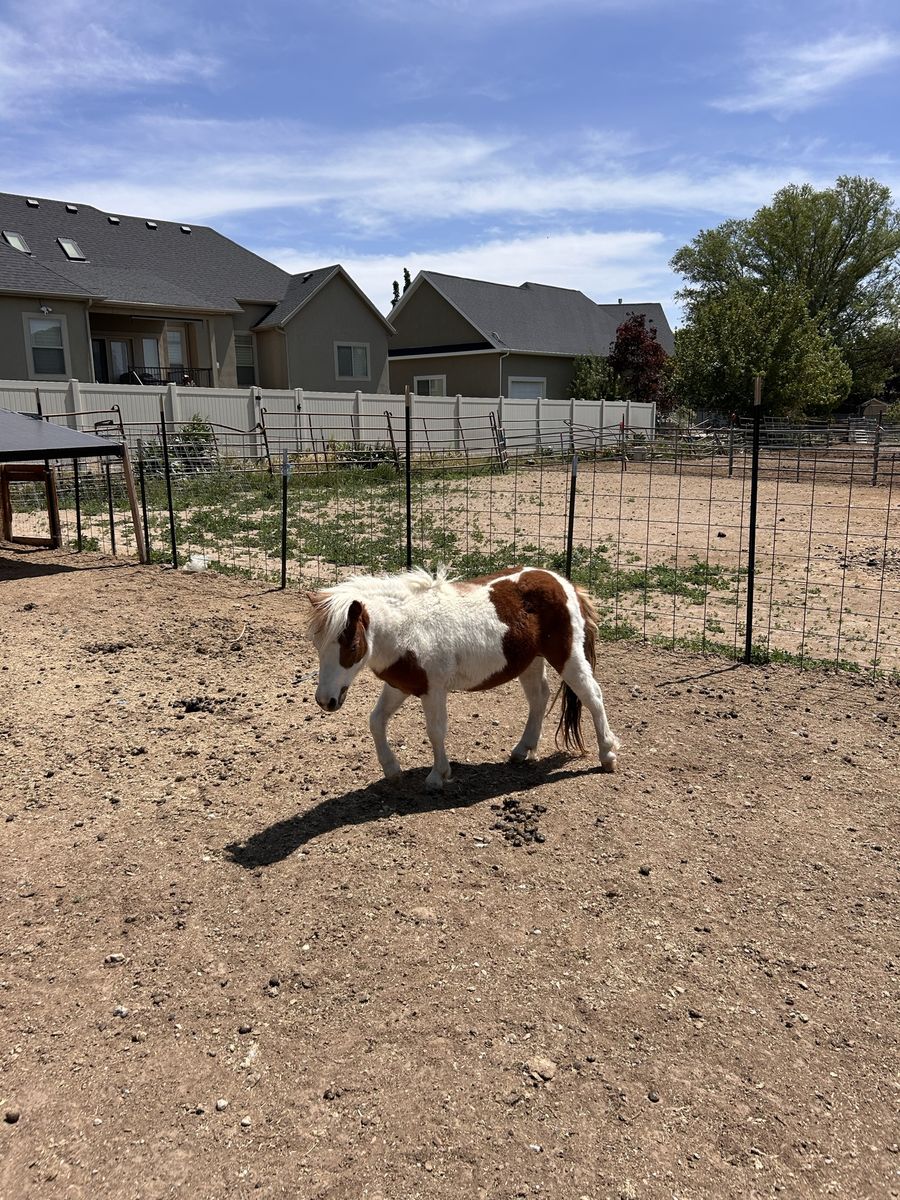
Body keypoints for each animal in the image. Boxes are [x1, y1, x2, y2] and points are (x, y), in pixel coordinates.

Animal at [306, 566, 620, 791]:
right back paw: (522, 750)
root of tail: (565, 584)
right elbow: (376, 720)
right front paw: (392, 769)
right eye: (317, 644)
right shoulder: (400, 686)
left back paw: (607, 755)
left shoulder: (433, 690)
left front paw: (438, 775)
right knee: (539, 698)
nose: (325, 700)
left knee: (592, 696)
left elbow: (435, 731)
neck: (406, 628)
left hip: (567, 657)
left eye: (351, 646)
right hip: (531, 661)